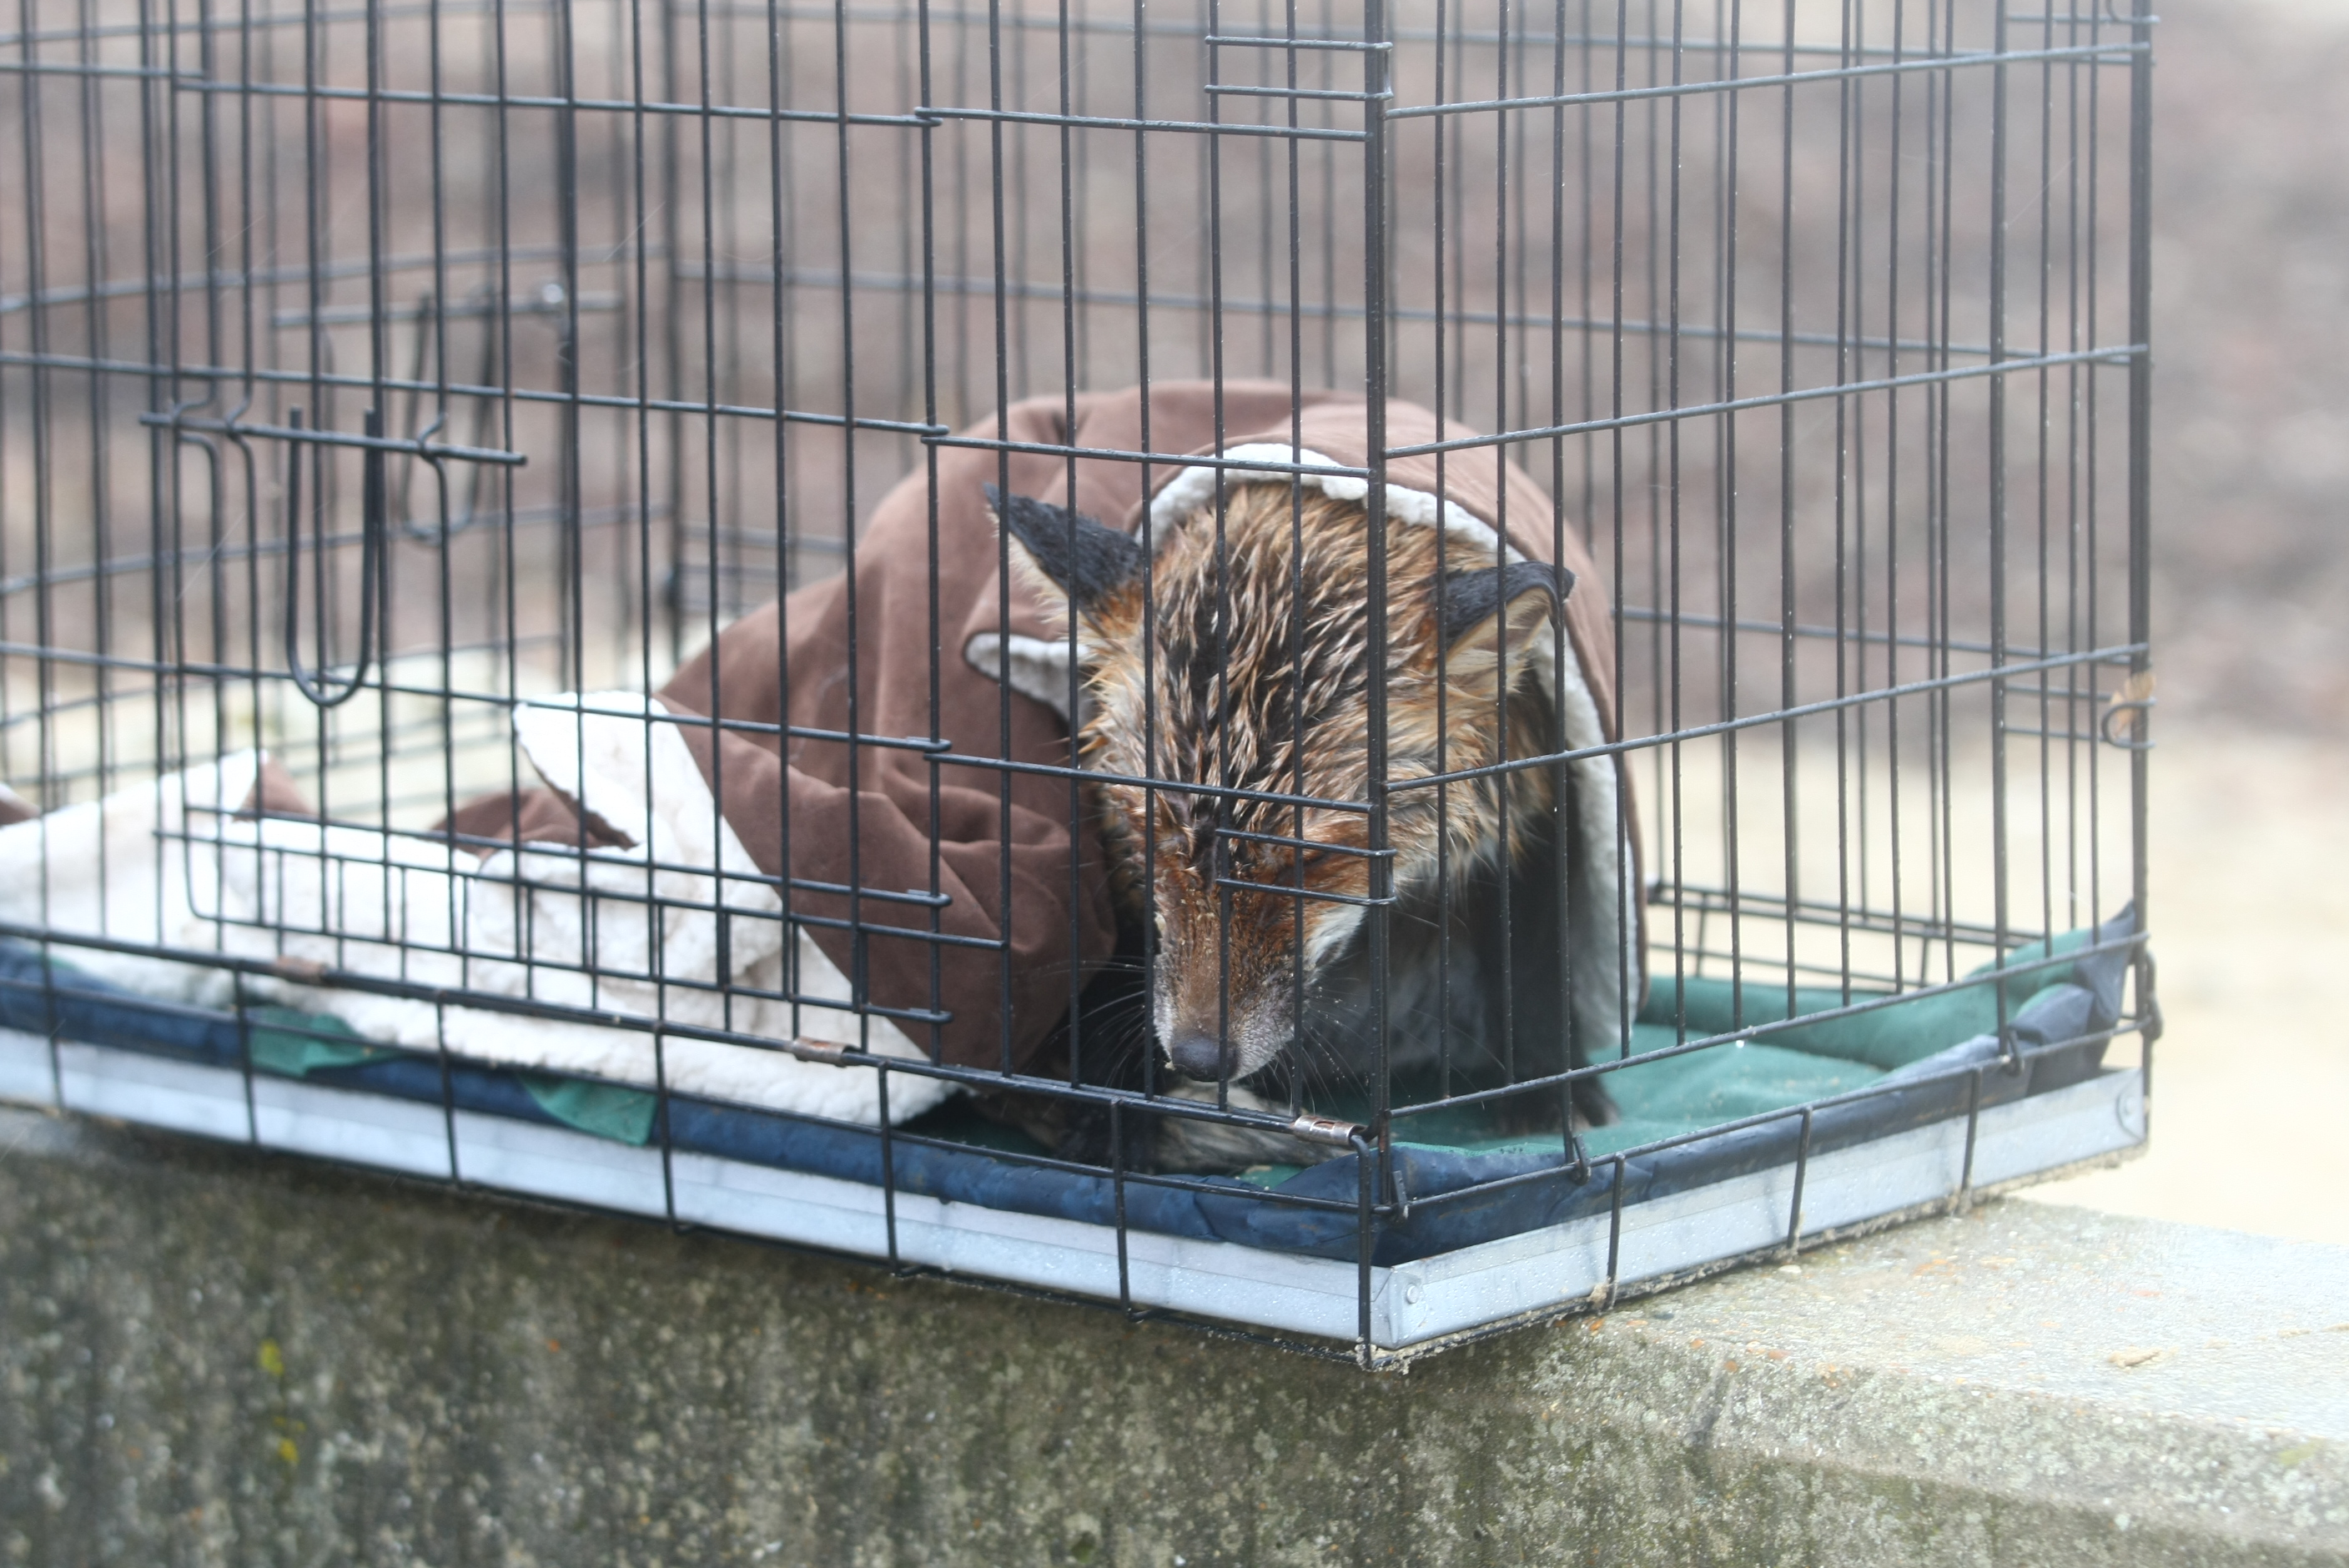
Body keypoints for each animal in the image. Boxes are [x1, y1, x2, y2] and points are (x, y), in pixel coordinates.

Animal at [991, 475, 1620, 1171]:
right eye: (1154, 834)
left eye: (1310, 860)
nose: (1198, 1058)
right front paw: (1113, 1113)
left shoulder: (1539, 811)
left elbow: (1536, 972)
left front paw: (1552, 1089)